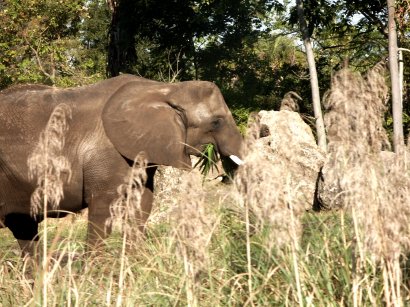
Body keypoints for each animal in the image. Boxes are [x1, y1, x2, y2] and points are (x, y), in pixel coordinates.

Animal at [0, 74, 243, 258]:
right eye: (216, 122)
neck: (164, 88)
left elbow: (141, 204)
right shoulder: (108, 155)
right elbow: (103, 209)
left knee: (23, 228)